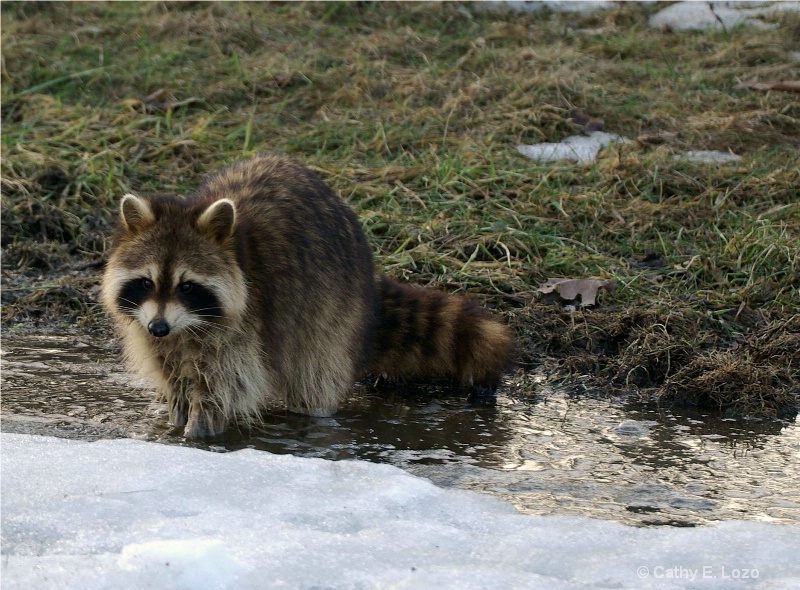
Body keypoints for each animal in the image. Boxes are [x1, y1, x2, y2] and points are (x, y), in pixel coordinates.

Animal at [101, 155, 512, 438]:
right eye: (146, 282)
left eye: (186, 285)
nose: (158, 328)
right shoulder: (154, 328)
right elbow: (174, 377)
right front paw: (177, 417)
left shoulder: (244, 325)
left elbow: (223, 383)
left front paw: (200, 428)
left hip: (333, 311)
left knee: (314, 376)